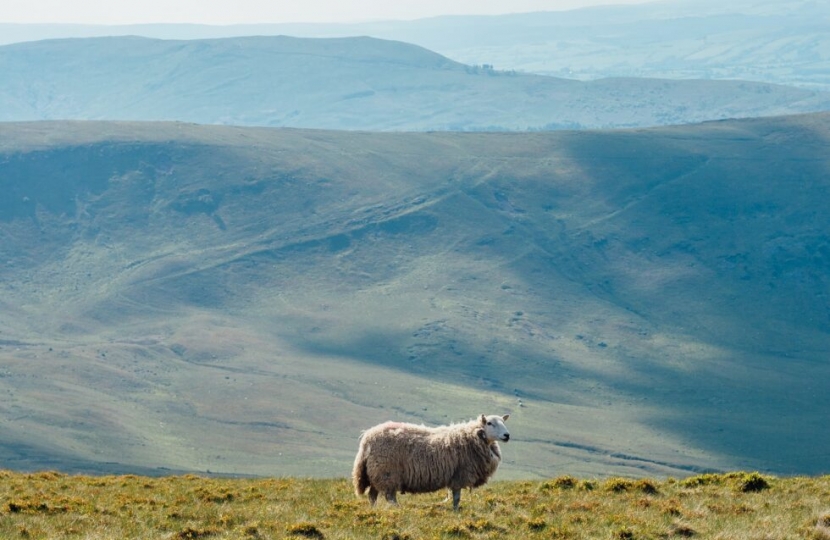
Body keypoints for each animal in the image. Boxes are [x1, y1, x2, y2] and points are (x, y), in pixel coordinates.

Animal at [352, 414, 510, 510]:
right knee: (389, 496)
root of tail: (367, 438)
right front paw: (456, 511)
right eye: (489, 423)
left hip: (376, 474)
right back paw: (398, 509)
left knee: (372, 495)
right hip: (387, 473)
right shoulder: (459, 475)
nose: (507, 435)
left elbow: (456, 497)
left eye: (503, 422)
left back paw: (374, 510)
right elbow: (457, 497)